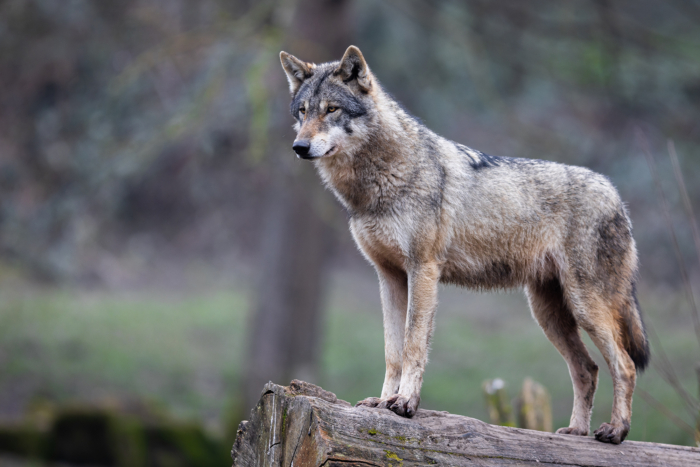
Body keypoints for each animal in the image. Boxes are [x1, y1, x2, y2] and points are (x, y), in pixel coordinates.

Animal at [279, 45, 649, 444]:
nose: (299, 147)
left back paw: (615, 430)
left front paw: (404, 403)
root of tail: (616, 196)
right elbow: (392, 351)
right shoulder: (389, 277)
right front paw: (381, 402)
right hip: (549, 314)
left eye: (332, 109)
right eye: (302, 112)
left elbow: (413, 345)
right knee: (588, 368)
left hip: (585, 308)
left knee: (625, 365)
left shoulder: (423, 271)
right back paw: (575, 432)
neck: (380, 180)